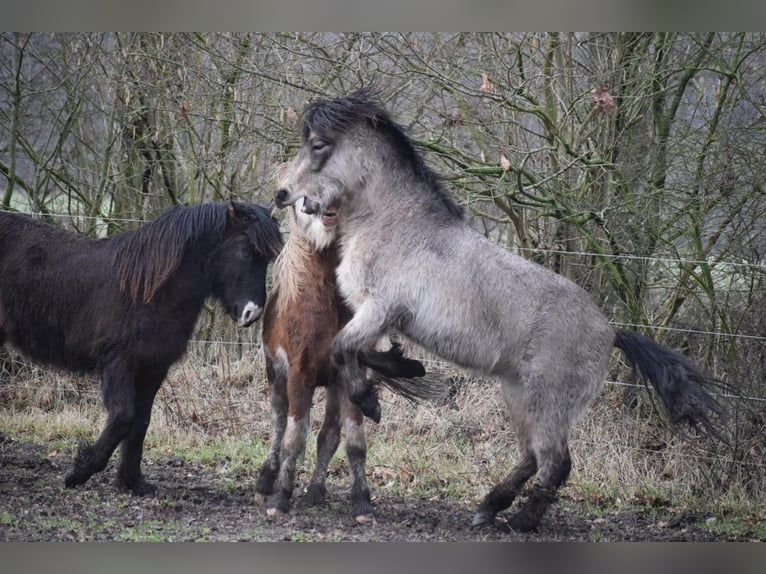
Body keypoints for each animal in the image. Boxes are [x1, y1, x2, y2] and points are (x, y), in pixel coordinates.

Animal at [0, 201, 283, 496]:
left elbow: (140, 423)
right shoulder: (119, 362)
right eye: (245, 252)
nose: (252, 313)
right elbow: (123, 417)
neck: (149, 289)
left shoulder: (153, 367)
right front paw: (78, 472)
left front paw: (132, 481)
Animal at [257, 197, 436, 522]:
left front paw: (362, 502)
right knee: (278, 423)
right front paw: (280, 499)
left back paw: (315, 491)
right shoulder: (299, 376)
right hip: (277, 376)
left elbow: (353, 442)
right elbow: (293, 437)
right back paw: (266, 480)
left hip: (332, 388)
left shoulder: (347, 378)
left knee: (327, 435)